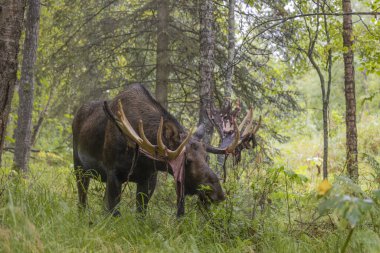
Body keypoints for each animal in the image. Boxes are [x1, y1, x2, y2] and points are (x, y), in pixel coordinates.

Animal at [72, 83, 260, 215]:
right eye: (187, 160)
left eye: (207, 157)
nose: (217, 193)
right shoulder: (113, 173)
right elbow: (113, 212)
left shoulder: (149, 177)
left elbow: (141, 214)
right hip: (79, 167)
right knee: (82, 200)